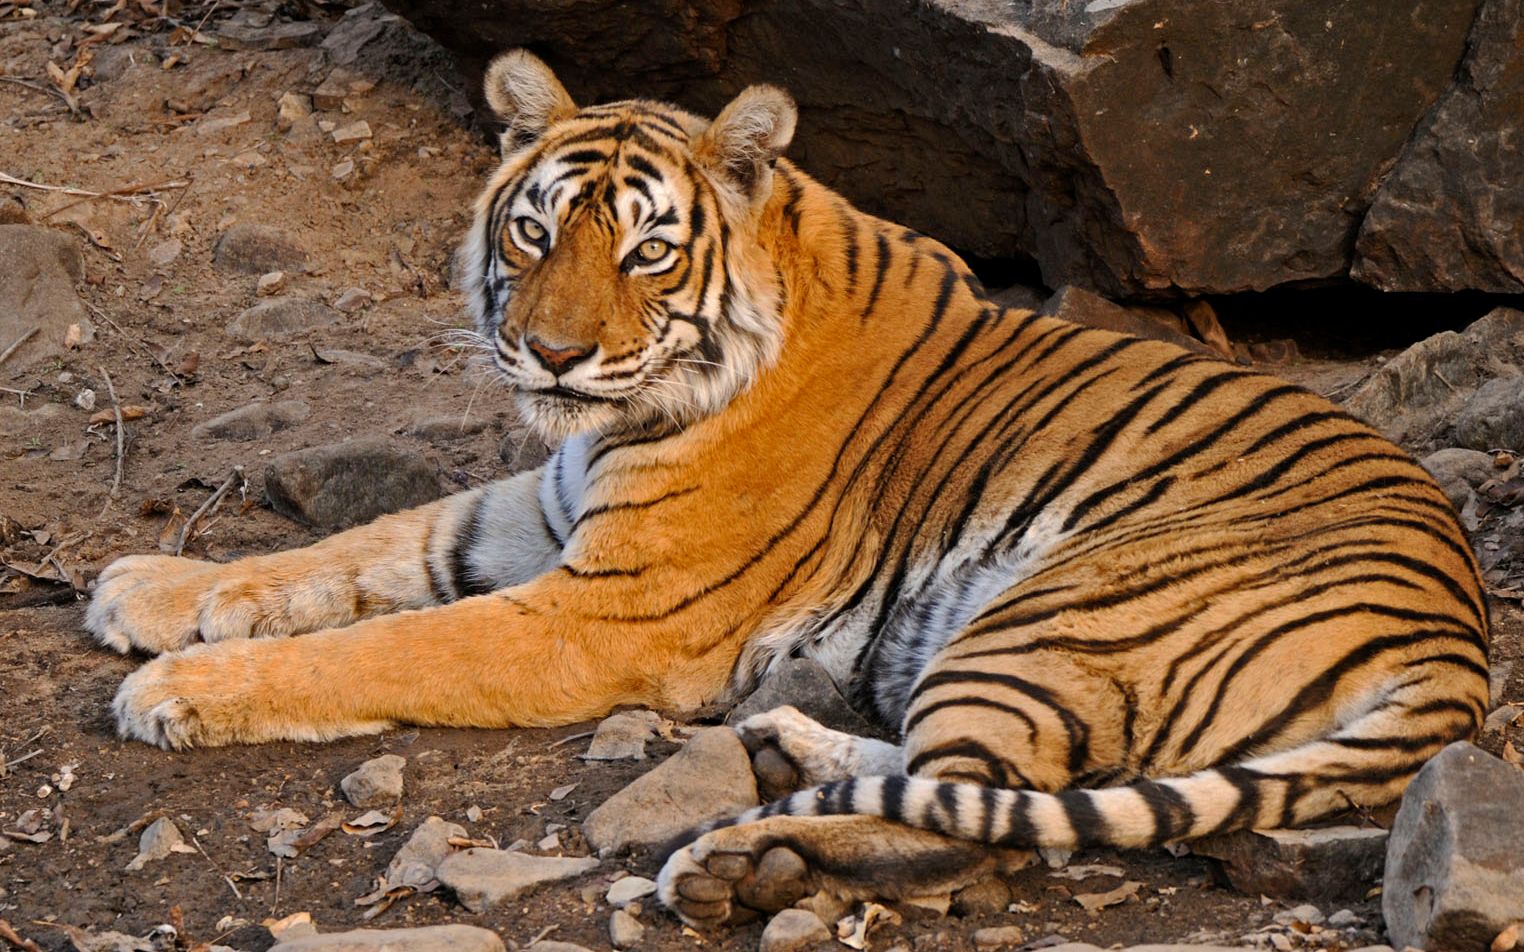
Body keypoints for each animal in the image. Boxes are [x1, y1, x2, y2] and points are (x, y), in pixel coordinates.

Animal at [86, 50, 1489, 927]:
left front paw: (178, 686)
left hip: (1058, 612)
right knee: (965, 776)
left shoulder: (611, 610)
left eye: (646, 253)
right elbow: (361, 552)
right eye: (533, 231)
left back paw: (738, 861)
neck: (621, 417)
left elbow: (387, 645)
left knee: (976, 815)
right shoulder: (539, 514)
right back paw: (779, 744)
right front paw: (151, 588)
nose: (550, 354)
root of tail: (1460, 641)